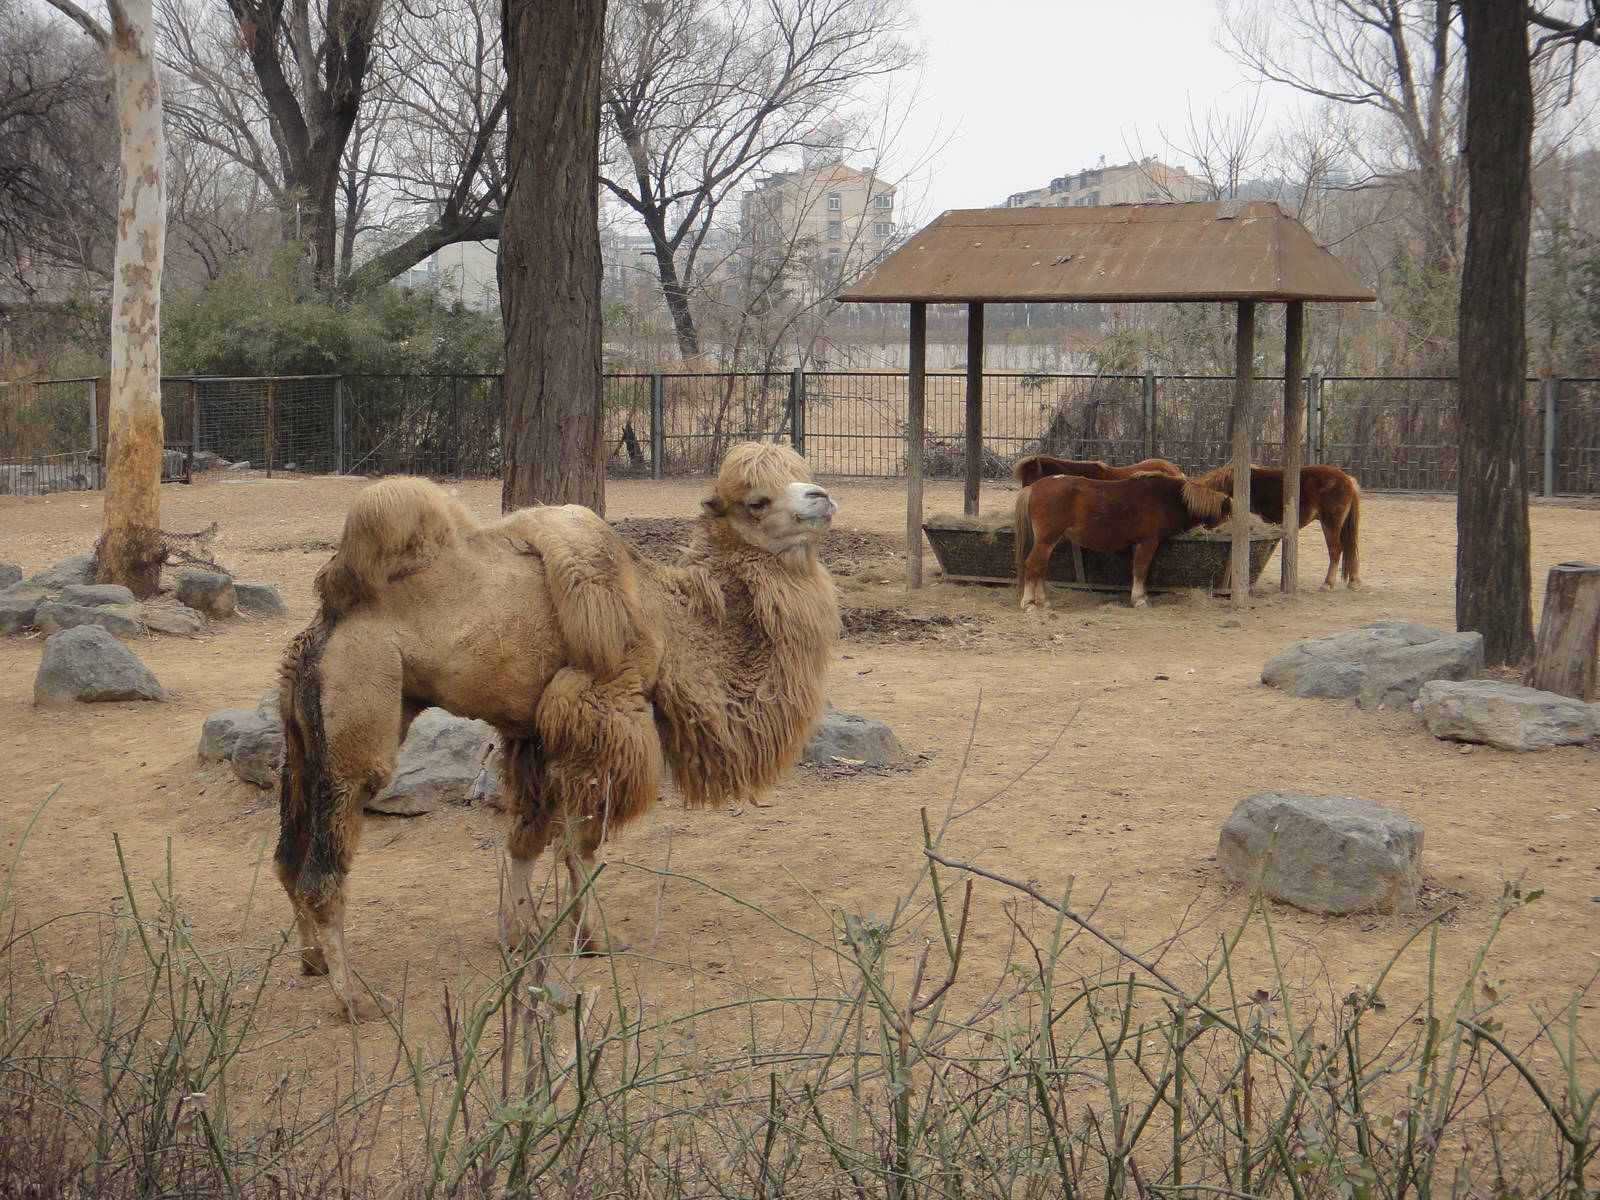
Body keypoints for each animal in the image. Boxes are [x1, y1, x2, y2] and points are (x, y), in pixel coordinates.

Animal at [275, 443, 840, 1019]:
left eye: (802, 473)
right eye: (756, 501)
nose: (821, 497)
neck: (670, 618)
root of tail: (329, 622)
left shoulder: (534, 734)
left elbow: (527, 836)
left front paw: (521, 933)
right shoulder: (602, 710)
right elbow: (580, 845)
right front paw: (592, 938)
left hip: (303, 735)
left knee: (288, 855)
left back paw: (312, 961)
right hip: (361, 707)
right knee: (325, 868)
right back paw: (354, 999)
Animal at [1013, 472, 1233, 609]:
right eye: (1228, 515)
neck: (1166, 498)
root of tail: (1033, 487)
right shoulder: (1147, 542)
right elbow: (1140, 570)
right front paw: (1139, 600)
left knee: (1040, 567)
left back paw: (1043, 602)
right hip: (1047, 538)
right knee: (1033, 565)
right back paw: (1030, 603)